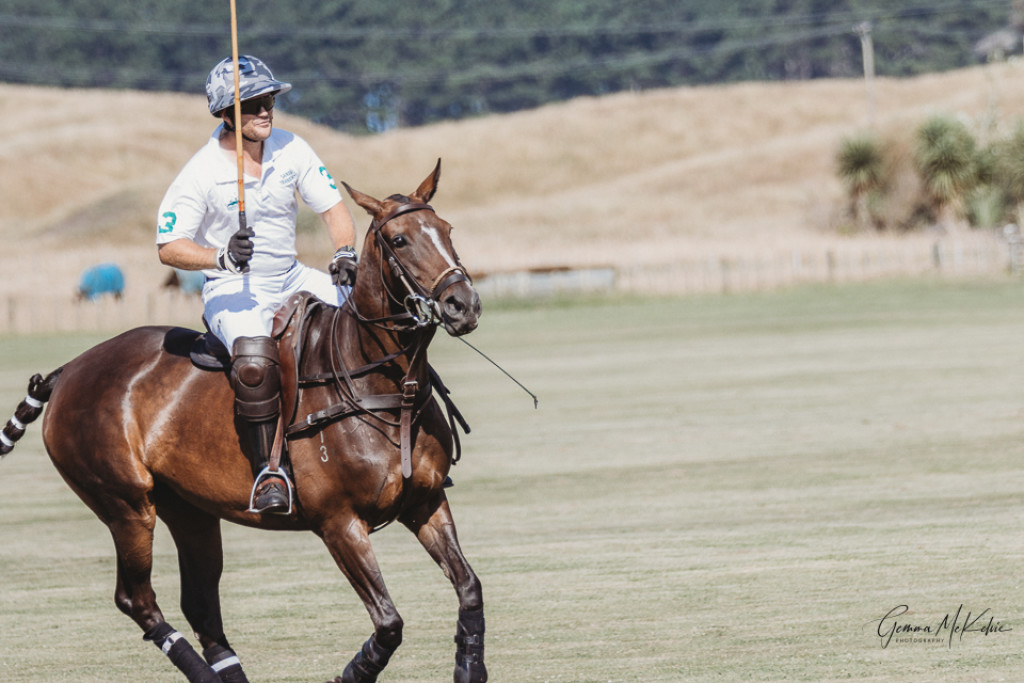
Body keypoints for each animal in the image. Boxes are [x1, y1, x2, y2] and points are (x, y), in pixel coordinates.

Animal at [0, 161, 488, 683]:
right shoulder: (338, 522)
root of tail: (69, 369)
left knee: (199, 603)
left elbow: (469, 587)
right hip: (125, 504)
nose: (463, 304)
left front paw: (469, 667)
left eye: (446, 230)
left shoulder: (426, 501)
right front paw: (353, 671)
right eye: (398, 239)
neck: (382, 384)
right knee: (137, 599)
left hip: (188, 510)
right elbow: (389, 622)